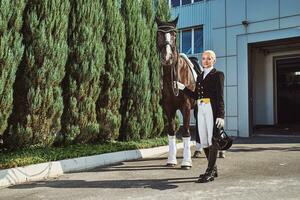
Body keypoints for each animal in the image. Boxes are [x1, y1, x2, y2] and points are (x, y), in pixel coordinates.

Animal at [156, 16, 198, 169]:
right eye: (159, 34)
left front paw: (186, 162)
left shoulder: (185, 107)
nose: (167, 57)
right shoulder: (169, 108)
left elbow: (185, 132)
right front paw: (171, 160)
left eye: (174, 35)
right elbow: (171, 132)